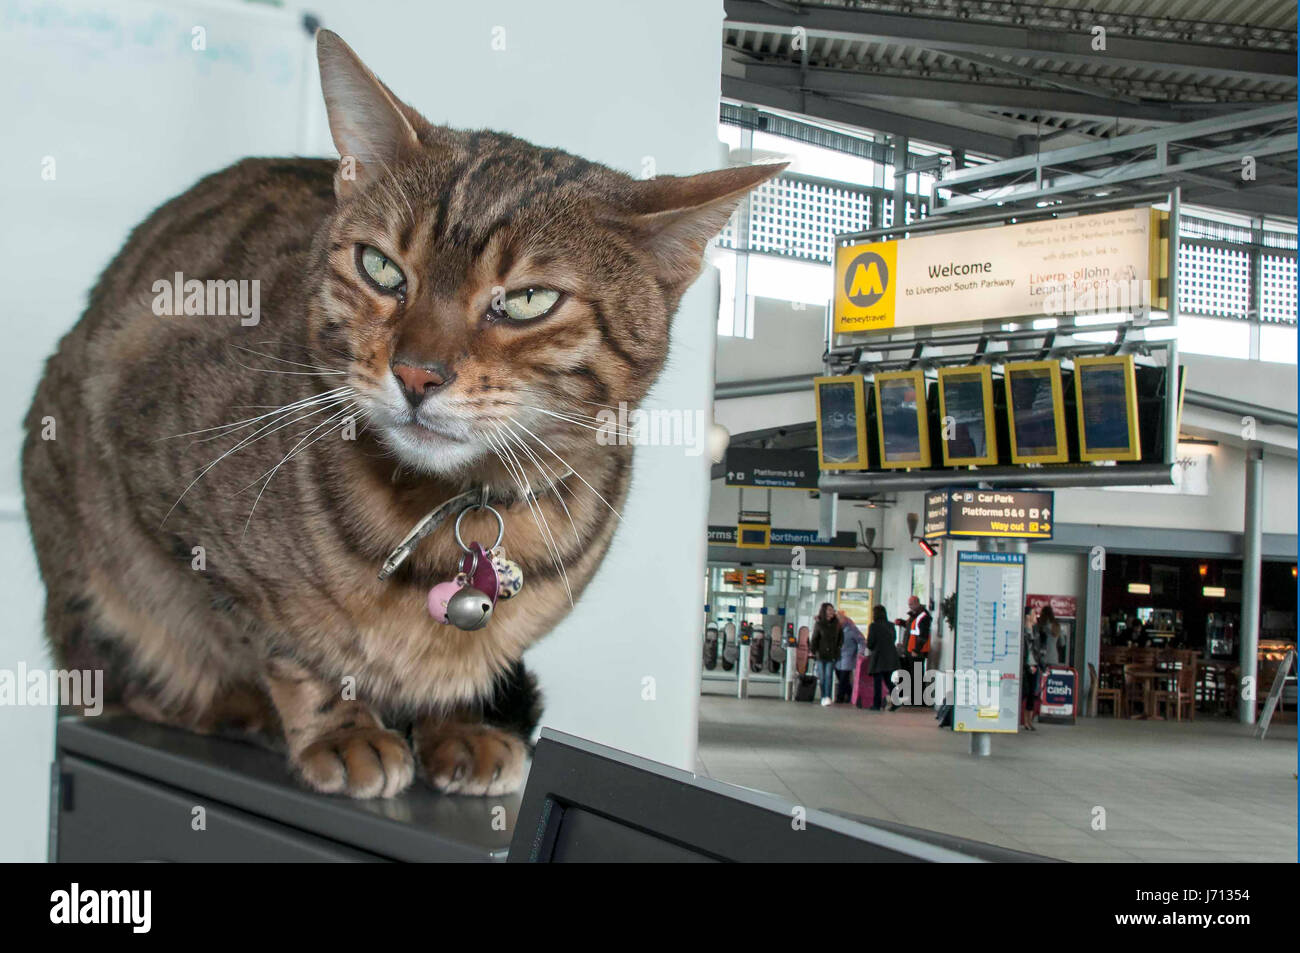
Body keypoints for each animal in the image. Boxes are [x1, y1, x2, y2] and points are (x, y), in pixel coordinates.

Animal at [22, 29, 780, 795]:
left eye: (528, 300)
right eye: (380, 267)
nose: (417, 373)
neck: (456, 509)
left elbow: (463, 661)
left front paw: (458, 722)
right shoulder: (166, 477)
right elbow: (284, 640)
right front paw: (341, 726)